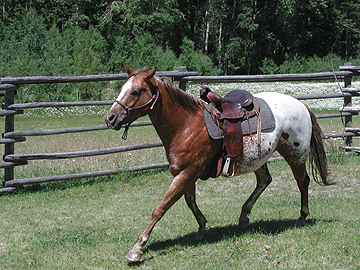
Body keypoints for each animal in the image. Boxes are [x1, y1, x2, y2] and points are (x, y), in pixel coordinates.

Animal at [102, 63, 330, 262]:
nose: (110, 118)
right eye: (122, 89)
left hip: (295, 154)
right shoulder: (186, 173)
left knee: (302, 182)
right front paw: (202, 227)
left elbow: (161, 208)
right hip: (258, 157)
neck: (186, 125)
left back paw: (302, 216)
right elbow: (190, 201)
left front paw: (137, 248)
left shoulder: (187, 172)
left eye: (136, 91)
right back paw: (244, 216)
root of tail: (301, 103)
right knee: (265, 180)